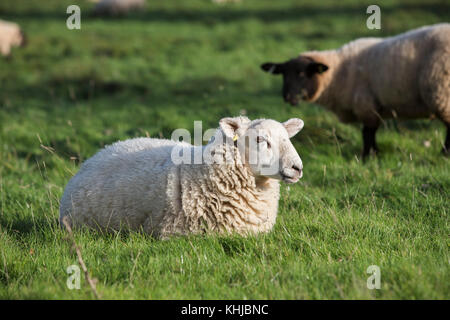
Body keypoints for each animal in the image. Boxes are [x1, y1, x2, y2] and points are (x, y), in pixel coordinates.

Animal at [260, 23, 450, 157]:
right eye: (283, 74)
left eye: (301, 74)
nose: (287, 97)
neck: (338, 72)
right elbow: (370, 133)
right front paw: (373, 154)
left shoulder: (366, 105)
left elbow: (367, 133)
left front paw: (368, 156)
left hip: (441, 93)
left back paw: (444, 153)